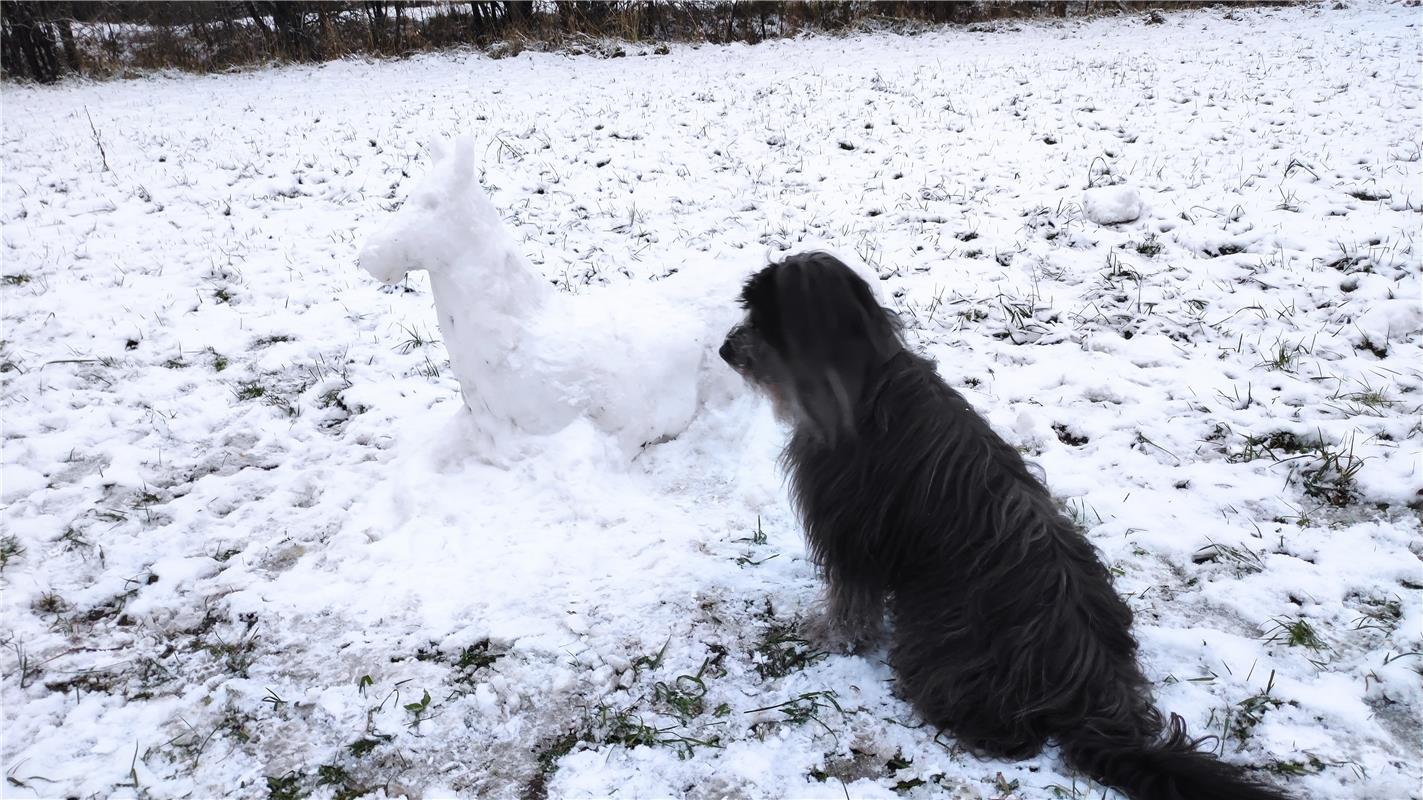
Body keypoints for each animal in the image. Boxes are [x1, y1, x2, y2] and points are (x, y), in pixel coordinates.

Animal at [722, 250, 1292, 797]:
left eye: (761, 319)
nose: (727, 350)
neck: (860, 387)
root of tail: (1089, 688)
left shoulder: (850, 535)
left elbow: (849, 601)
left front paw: (830, 636)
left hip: (945, 644)